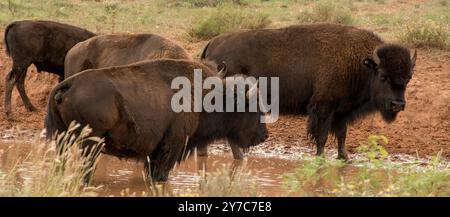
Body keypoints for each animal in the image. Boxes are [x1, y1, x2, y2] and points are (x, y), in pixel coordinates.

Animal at [44, 58, 268, 182]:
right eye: (254, 109)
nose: (264, 136)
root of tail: (68, 84)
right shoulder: (170, 149)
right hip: (90, 144)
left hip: (63, 140)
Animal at [202, 23, 416, 161]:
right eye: (383, 76)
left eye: (408, 78)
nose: (397, 104)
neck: (359, 64)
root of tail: (212, 43)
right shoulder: (323, 107)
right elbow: (321, 136)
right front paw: (321, 158)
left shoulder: (342, 112)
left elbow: (341, 135)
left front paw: (344, 158)